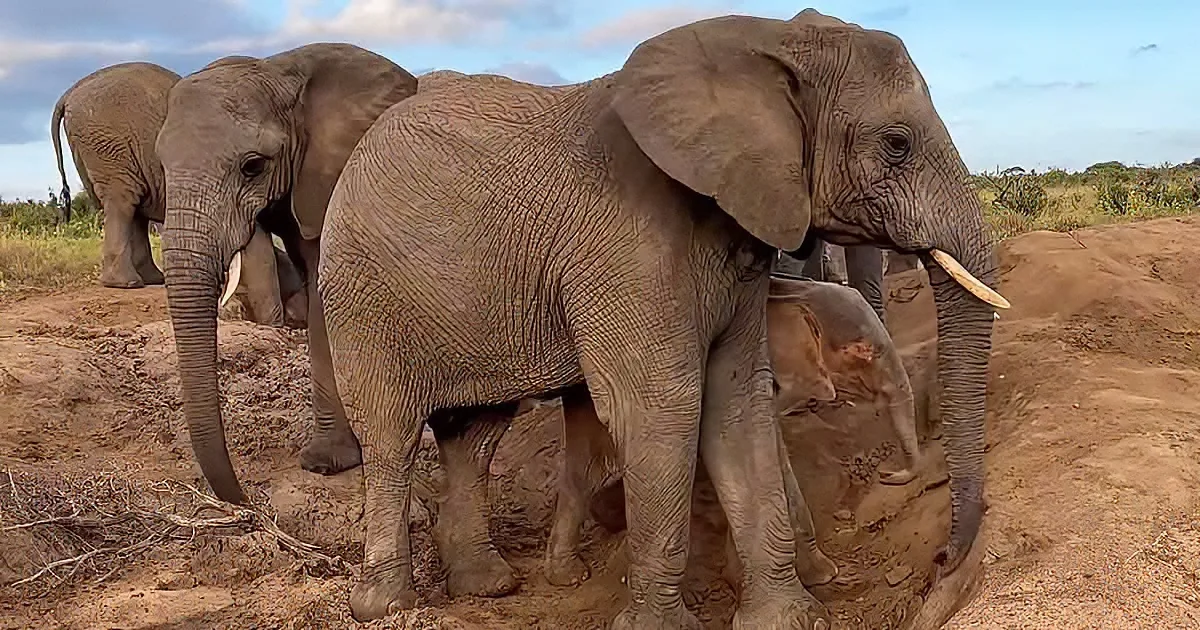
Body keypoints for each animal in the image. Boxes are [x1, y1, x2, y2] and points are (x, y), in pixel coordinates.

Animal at [312, 10, 1009, 627]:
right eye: (896, 144)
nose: (942, 560)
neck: (764, 40)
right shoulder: (625, 246)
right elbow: (662, 406)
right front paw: (661, 625)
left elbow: (737, 402)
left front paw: (789, 619)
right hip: (358, 296)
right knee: (392, 436)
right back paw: (385, 606)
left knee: (474, 437)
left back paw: (487, 586)